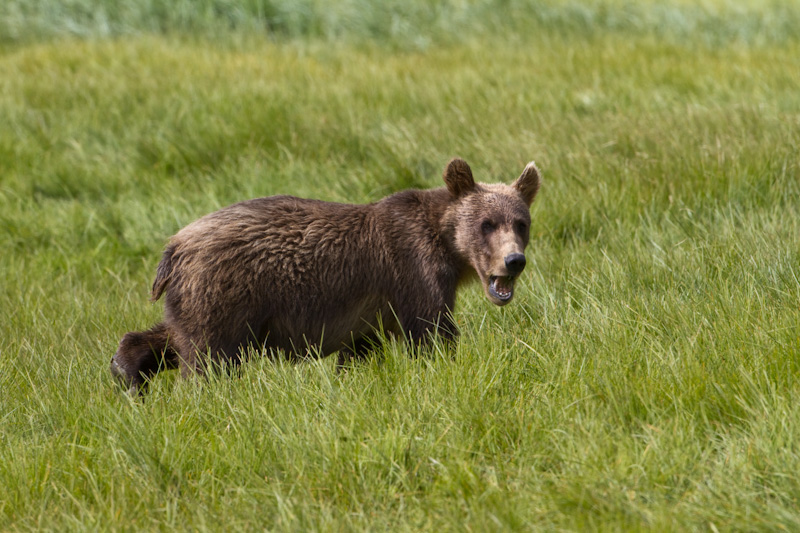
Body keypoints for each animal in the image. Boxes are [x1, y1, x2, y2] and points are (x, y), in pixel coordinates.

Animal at [109, 157, 540, 390]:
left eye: (521, 223)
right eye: (487, 223)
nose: (513, 261)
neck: (449, 248)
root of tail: (174, 246)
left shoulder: (370, 311)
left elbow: (359, 351)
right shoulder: (412, 271)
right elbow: (431, 332)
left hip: (197, 296)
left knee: (173, 337)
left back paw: (128, 375)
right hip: (225, 291)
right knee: (208, 356)